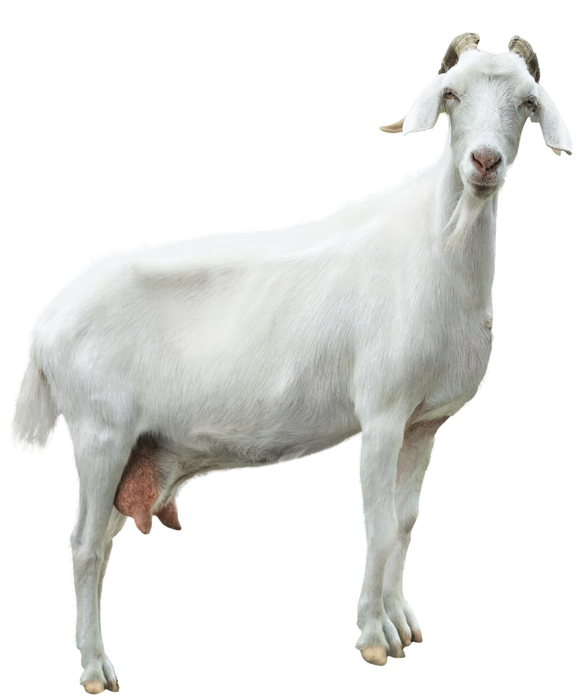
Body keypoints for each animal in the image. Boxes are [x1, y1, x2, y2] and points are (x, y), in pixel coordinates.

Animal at [10, 32, 575, 693]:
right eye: (453, 94)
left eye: (527, 101)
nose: (484, 162)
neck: (434, 253)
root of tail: (48, 319)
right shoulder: (382, 413)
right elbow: (377, 525)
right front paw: (373, 640)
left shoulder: (424, 423)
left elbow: (405, 524)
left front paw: (404, 625)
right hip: (99, 433)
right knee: (84, 550)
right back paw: (96, 672)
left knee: (95, 546)